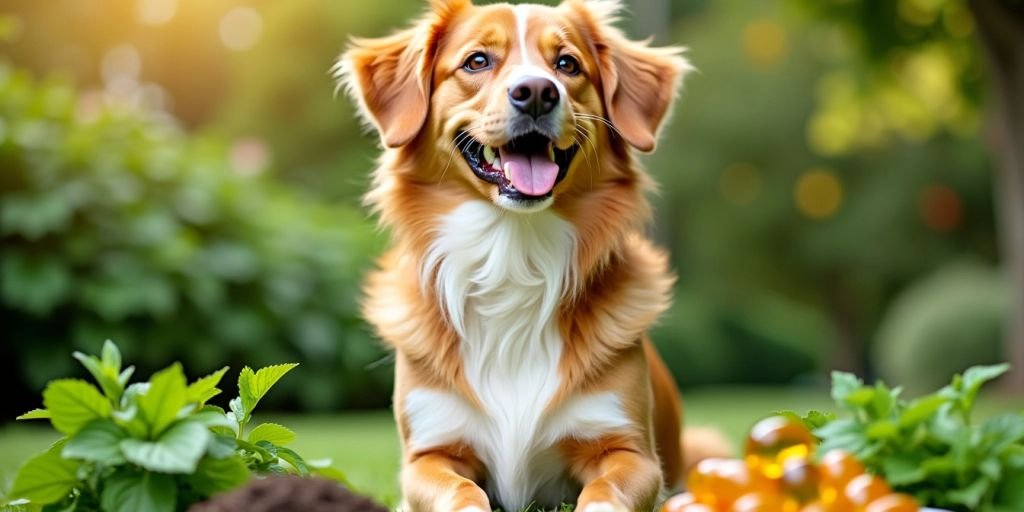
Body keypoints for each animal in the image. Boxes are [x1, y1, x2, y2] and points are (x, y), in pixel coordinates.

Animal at [335, 1, 729, 512]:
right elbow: (461, 494)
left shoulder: (631, 452)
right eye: (477, 61)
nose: (538, 93)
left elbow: (605, 494)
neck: (513, 254)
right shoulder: (429, 454)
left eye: (567, 64)